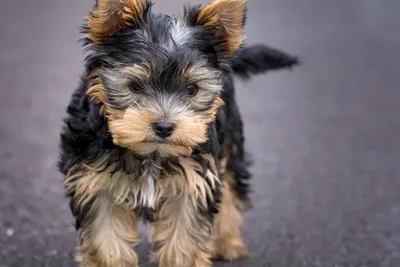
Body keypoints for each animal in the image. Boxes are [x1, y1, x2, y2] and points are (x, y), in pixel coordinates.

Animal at [58, 1, 296, 266]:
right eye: (135, 86)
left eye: (192, 89)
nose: (164, 126)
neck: (151, 154)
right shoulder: (96, 182)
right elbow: (105, 238)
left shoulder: (194, 182)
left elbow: (184, 238)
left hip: (231, 139)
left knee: (231, 188)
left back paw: (227, 243)